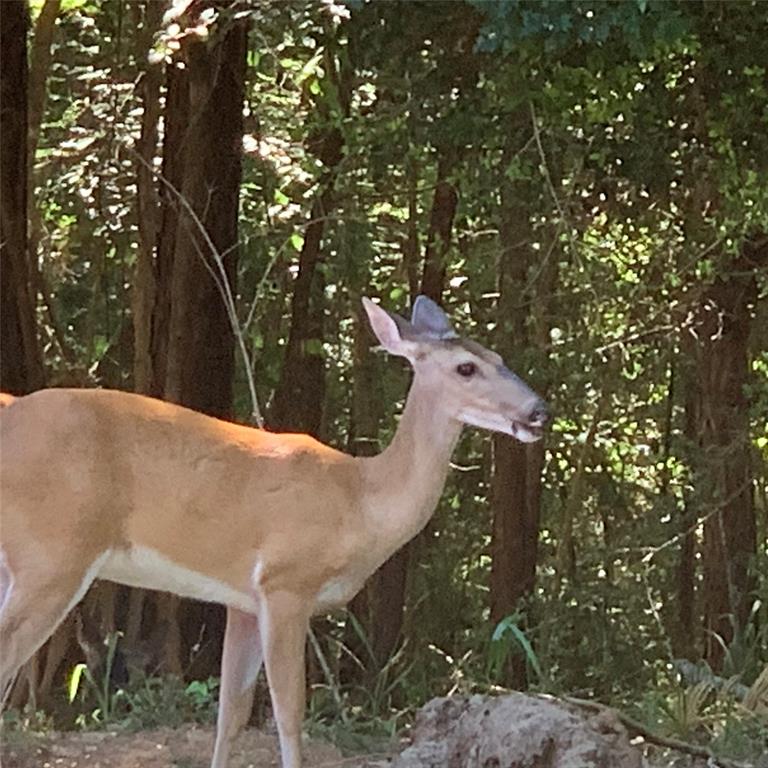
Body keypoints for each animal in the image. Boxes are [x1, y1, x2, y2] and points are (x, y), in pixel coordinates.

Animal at [3, 296, 548, 768]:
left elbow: (231, 715)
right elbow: (289, 716)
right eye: (466, 368)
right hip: (54, 552)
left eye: (499, 356)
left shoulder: (242, 600)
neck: (359, 501)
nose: (539, 411)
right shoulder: (286, 582)